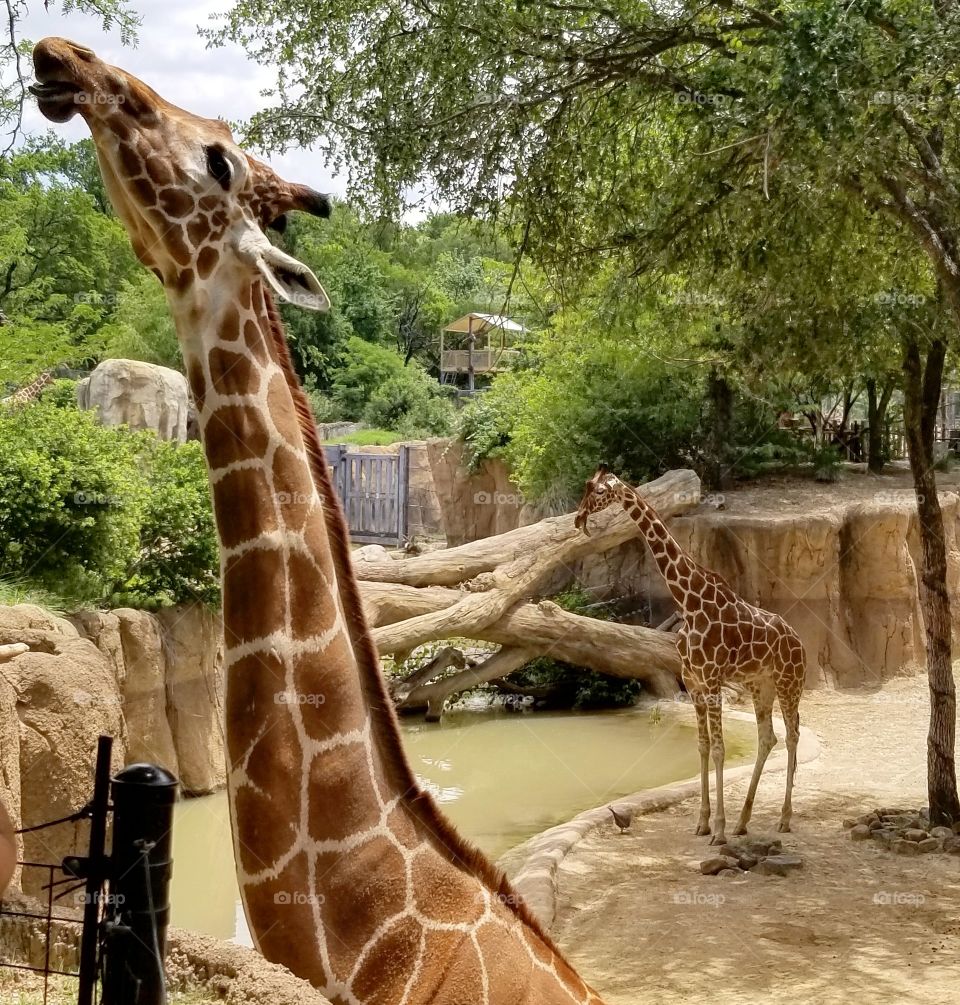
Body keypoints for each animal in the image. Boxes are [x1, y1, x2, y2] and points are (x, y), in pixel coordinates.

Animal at [575, 466, 804, 845]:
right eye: (587, 488)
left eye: (597, 491)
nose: (578, 519)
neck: (689, 600)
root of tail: (801, 641)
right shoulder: (694, 683)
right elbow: (702, 747)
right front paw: (704, 823)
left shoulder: (711, 681)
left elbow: (720, 749)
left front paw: (719, 831)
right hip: (761, 686)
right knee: (767, 737)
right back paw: (744, 822)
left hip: (790, 684)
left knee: (792, 735)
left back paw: (784, 819)